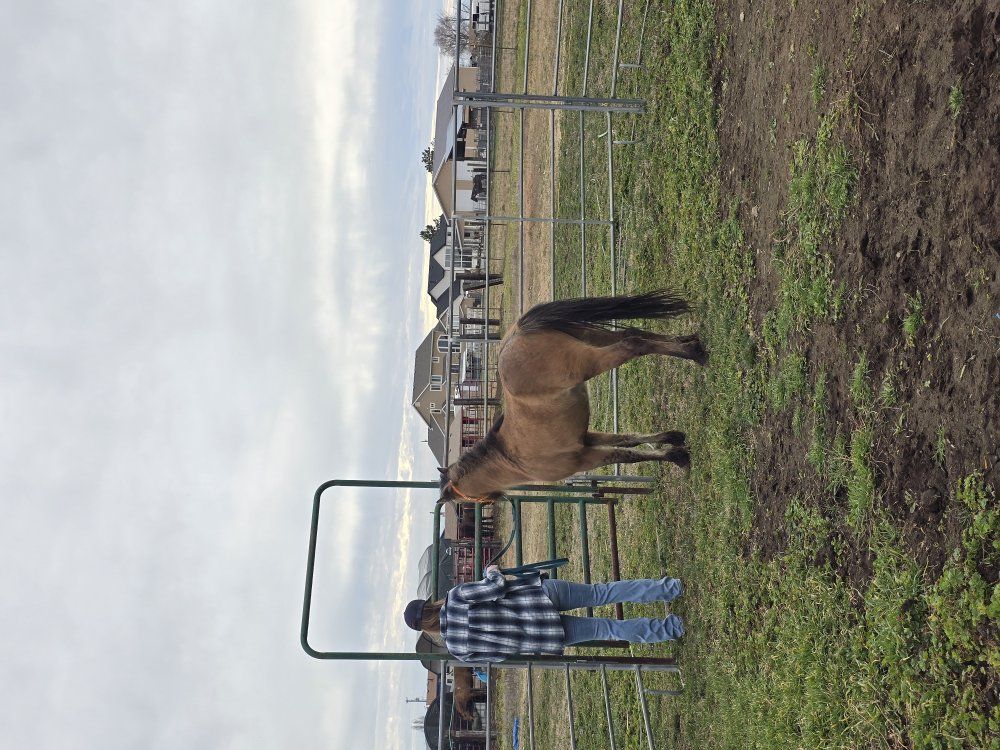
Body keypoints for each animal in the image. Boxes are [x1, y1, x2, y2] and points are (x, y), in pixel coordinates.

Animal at [439, 290, 707, 504]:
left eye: (467, 501)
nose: (491, 501)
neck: (510, 459)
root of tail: (518, 331)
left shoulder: (585, 459)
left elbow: (626, 456)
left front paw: (677, 456)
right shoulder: (587, 439)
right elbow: (628, 441)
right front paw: (672, 439)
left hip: (589, 361)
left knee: (633, 344)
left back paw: (693, 352)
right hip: (592, 337)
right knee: (633, 333)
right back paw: (689, 342)